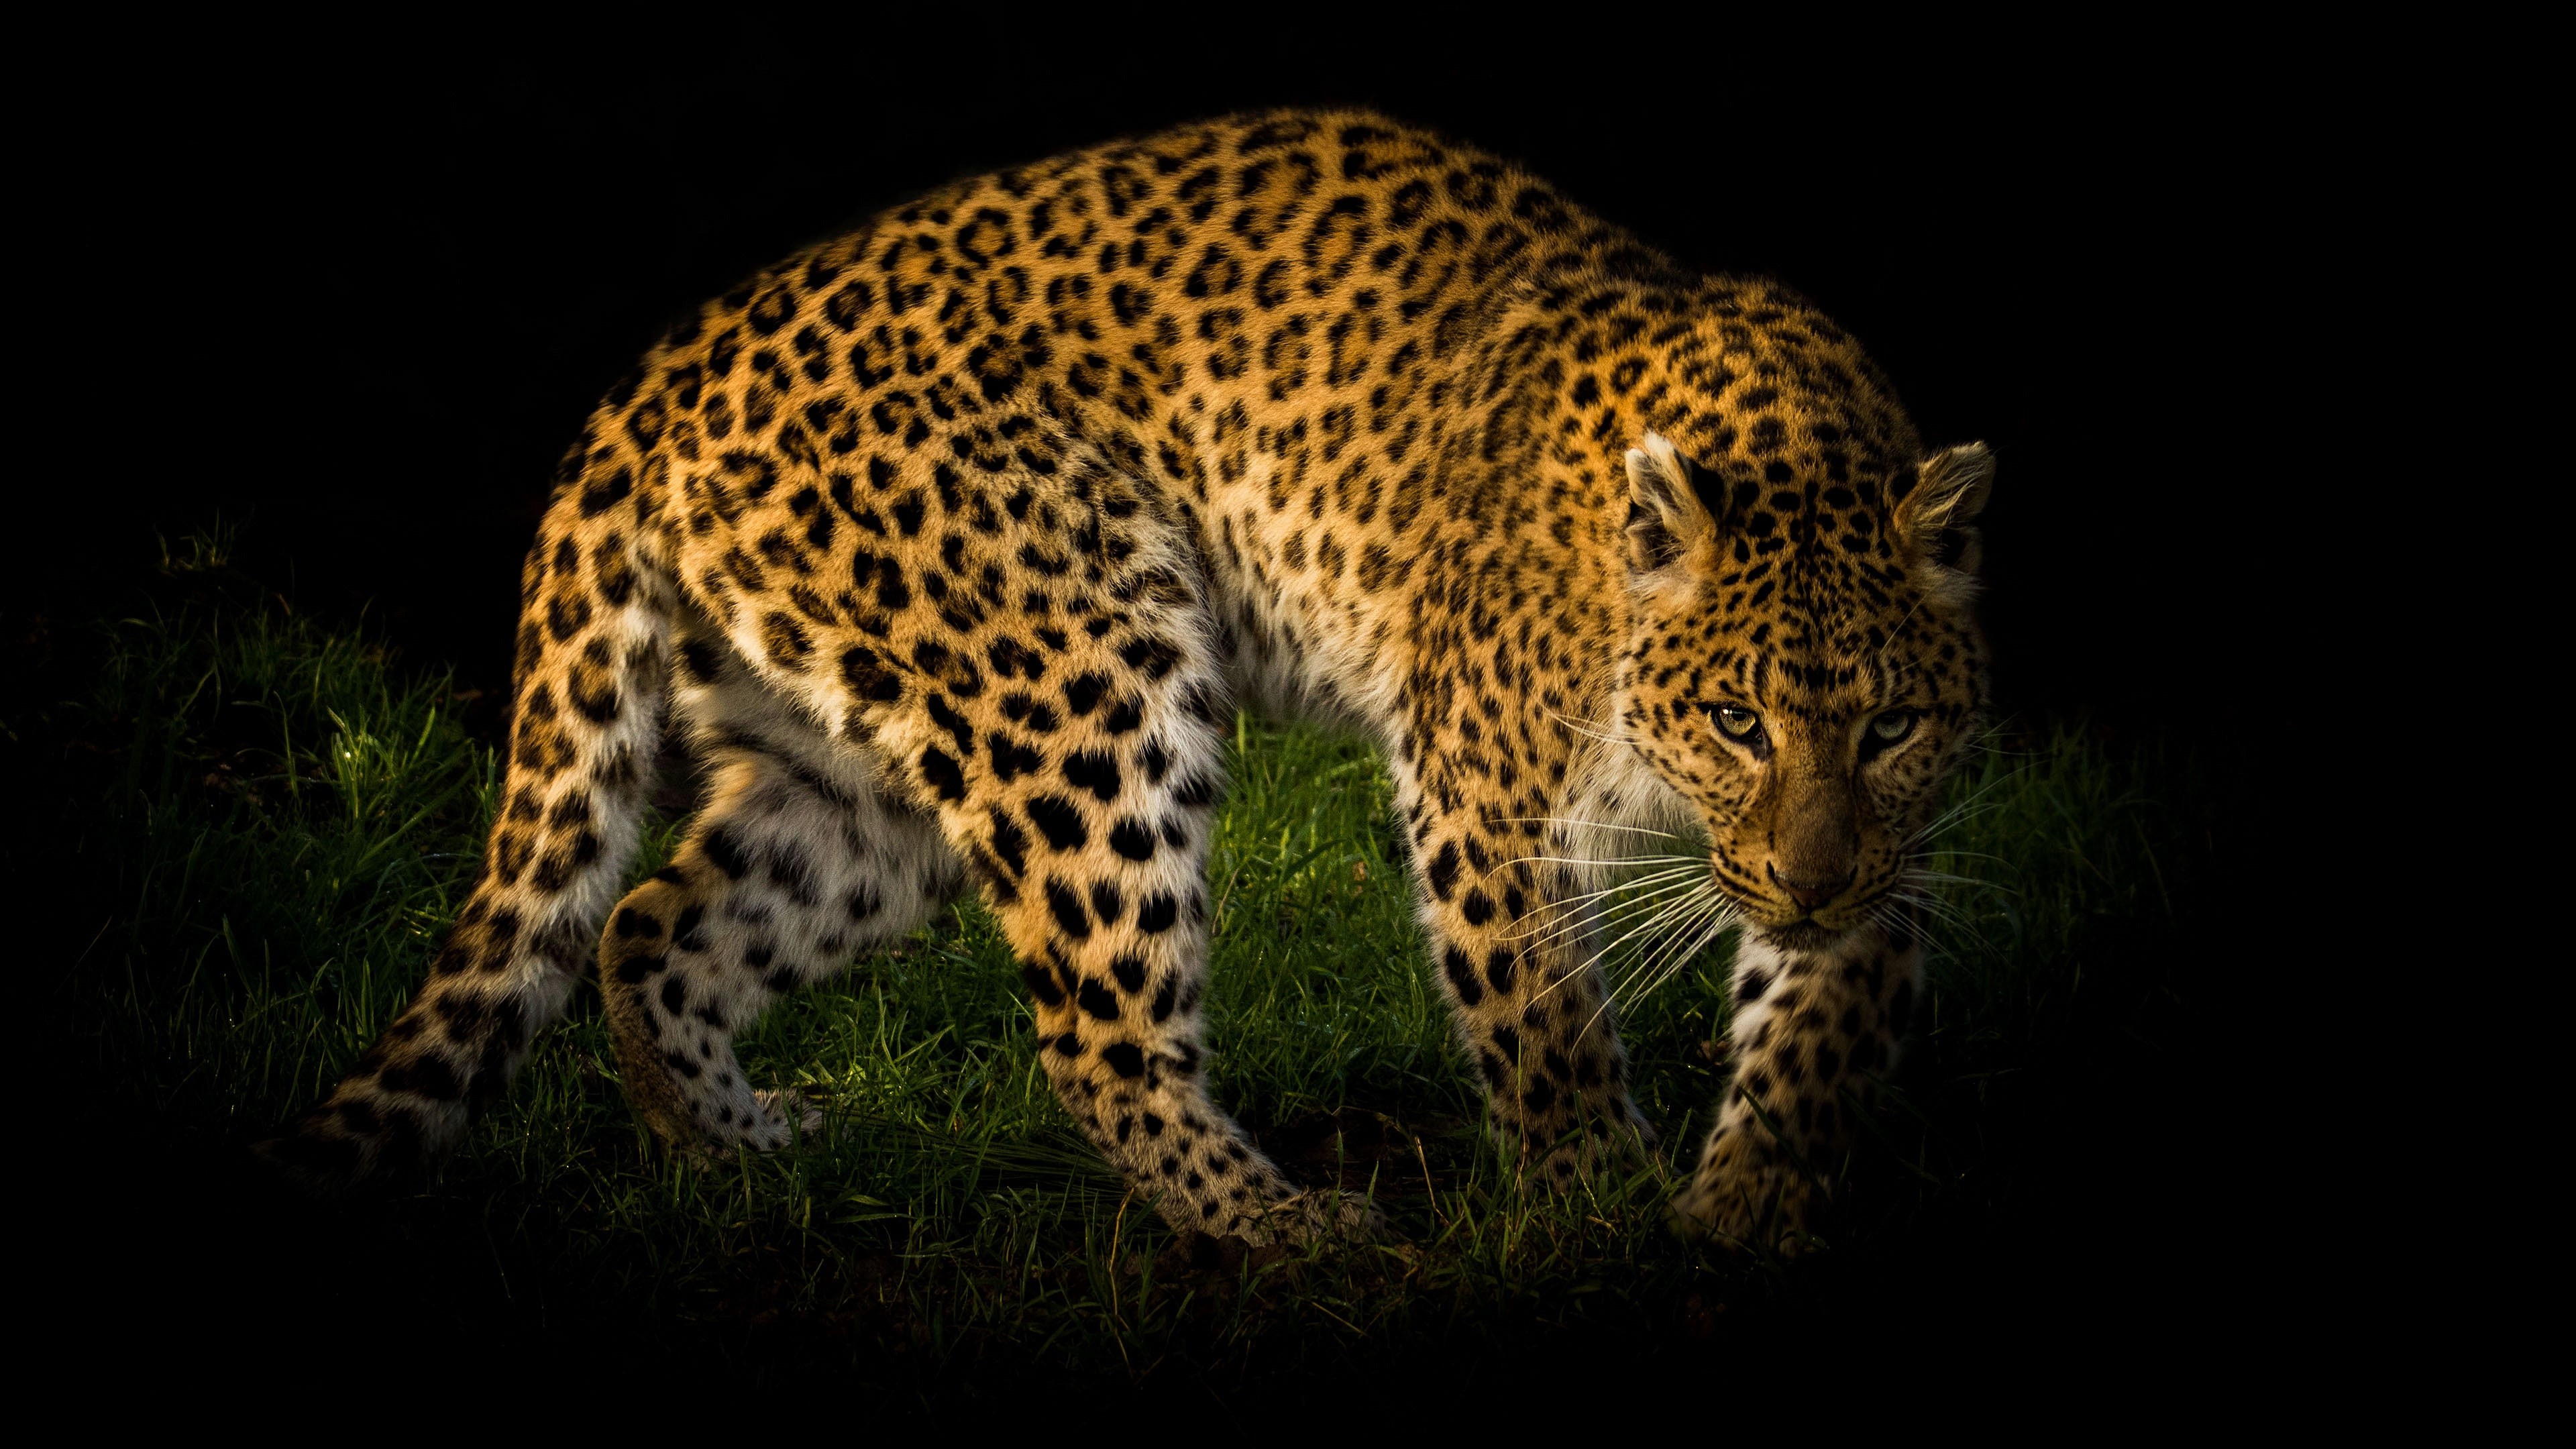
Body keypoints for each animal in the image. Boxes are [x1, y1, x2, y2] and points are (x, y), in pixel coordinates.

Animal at [264, 106, 1995, 1253]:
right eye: (1734, 719)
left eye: (1891, 724)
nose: (1803, 880)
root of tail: (660, 373)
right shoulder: (1485, 799)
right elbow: (1545, 1020)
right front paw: (1599, 1217)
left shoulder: (1890, 854)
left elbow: (1815, 1035)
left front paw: (1744, 1216)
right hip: (1089, 674)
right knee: (1096, 1039)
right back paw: (1304, 1239)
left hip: (858, 778)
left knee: (645, 921)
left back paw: (742, 1154)